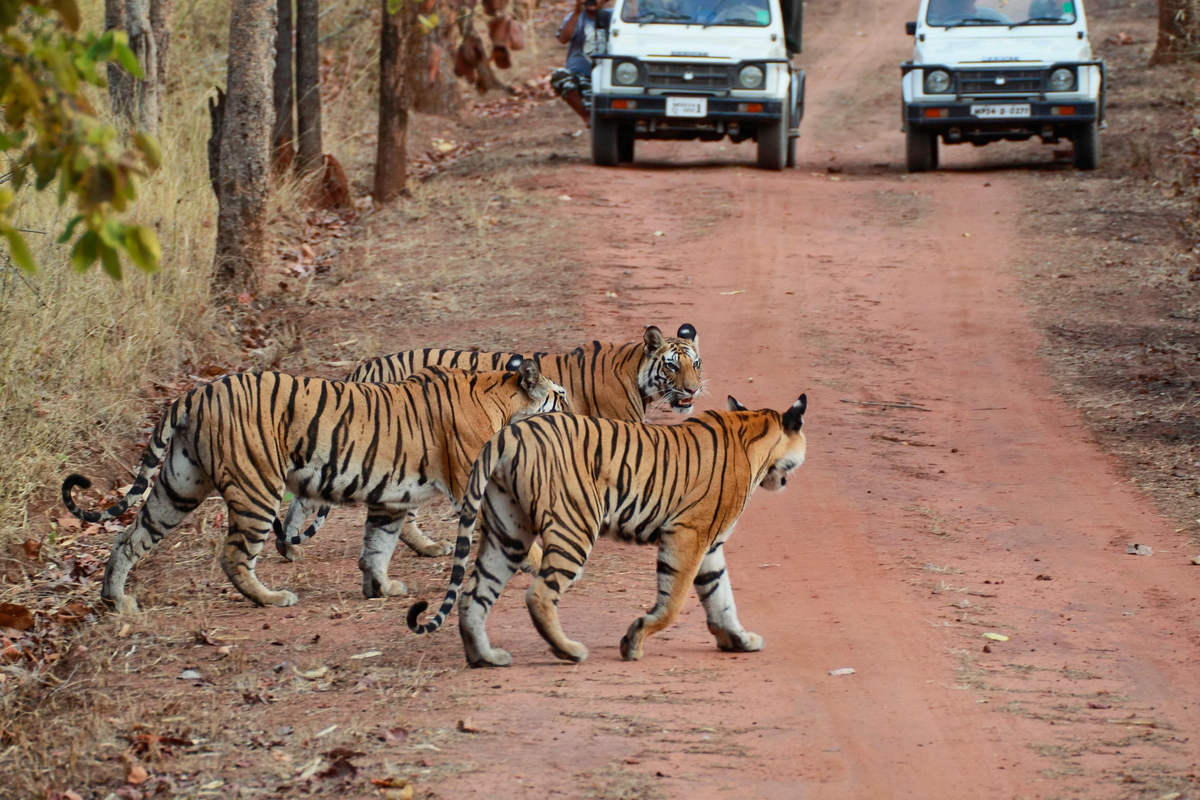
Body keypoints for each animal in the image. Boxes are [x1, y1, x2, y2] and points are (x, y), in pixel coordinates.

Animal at [62, 359, 571, 618]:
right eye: (559, 396)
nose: (574, 410)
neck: (500, 398)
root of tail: (195, 392)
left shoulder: (390, 499)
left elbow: (377, 545)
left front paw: (380, 587)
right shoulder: (471, 486)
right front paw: (543, 564)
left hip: (179, 486)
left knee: (129, 538)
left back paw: (116, 600)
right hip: (257, 488)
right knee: (234, 555)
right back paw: (271, 598)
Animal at [274, 321, 700, 561]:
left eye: (695, 363)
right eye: (672, 366)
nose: (694, 390)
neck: (635, 372)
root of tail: (365, 367)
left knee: (306, 498)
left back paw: (289, 548)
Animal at [408, 391, 811, 666]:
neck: (754, 431)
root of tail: (510, 433)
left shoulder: (709, 546)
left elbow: (721, 597)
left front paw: (739, 639)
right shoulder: (688, 534)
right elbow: (673, 602)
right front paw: (633, 641)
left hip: (508, 532)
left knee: (473, 594)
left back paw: (486, 657)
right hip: (574, 526)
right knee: (539, 594)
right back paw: (569, 651)